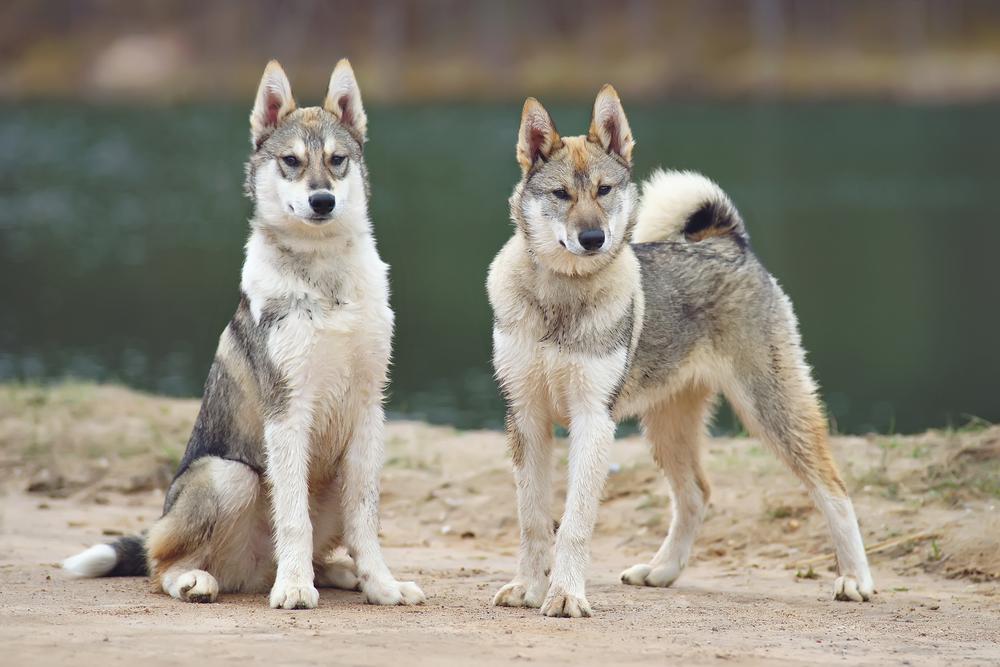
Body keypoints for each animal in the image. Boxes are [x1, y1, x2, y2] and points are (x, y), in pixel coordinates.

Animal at [62, 61, 422, 612]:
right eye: (291, 161)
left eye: (337, 160)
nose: (322, 201)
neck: (324, 280)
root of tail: (249, 574)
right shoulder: (287, 411)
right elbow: (292, 519)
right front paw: (294, 590)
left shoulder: (369, 411)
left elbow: (367, 521)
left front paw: (381, 585)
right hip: (230, 476)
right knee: (160, 565)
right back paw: (205, 581)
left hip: (327, 482)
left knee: (321, 547)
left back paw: (338, 575)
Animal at [488, 86, 872, 620]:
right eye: (561, 194)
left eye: (604, 190)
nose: (593, 239)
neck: (560, 299)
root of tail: (731, 241)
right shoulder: (526, 417)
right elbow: (532, 519)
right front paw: (527, 587)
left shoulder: (592, 419)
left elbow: (575, 523)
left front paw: (565, 595)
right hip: (667, 427)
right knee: (695, 495)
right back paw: (662, 570)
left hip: (771, 411)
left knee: (833, 488)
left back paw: (856, 580)